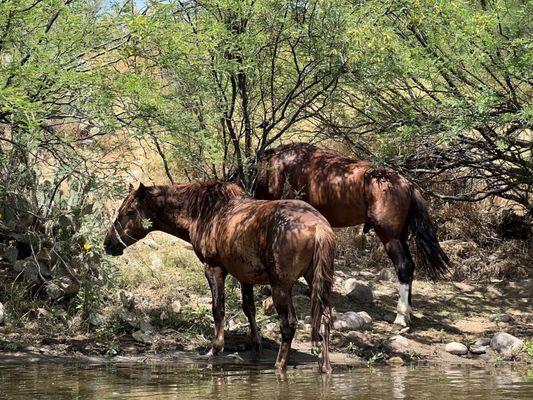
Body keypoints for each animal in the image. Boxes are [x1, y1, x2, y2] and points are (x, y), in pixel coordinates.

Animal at [103, 180, 332, 372]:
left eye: (130, 211)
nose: (108, 243)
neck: (202, 213)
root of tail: (319, 228)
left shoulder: (213, 267)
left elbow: (218, 309)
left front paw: (215, 348)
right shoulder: (244, 275)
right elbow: (249, 308)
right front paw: (256, 345)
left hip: (281, 286)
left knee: (289, 324)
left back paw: (279, 365)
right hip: (317, 281)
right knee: (325, 320)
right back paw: (325, 367)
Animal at [254, 143, 448, 328]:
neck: (279, 165)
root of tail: (407, 184)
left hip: (390, 238)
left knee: (404, 266)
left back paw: (401, 316)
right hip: (400, 237)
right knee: (411, 266)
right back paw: (409, 312)